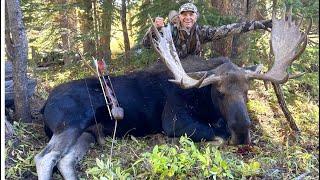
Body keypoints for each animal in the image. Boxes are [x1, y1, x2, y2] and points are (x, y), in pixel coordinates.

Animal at [35, 9, 310, 180]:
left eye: (247, 91)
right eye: (219, 92)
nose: (242, 131)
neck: (204, 100)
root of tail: (44, 105)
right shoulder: (173, 120)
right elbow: (218, 136)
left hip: (87, 134)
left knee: (65, 160)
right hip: (71, 121)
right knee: (45, 157)